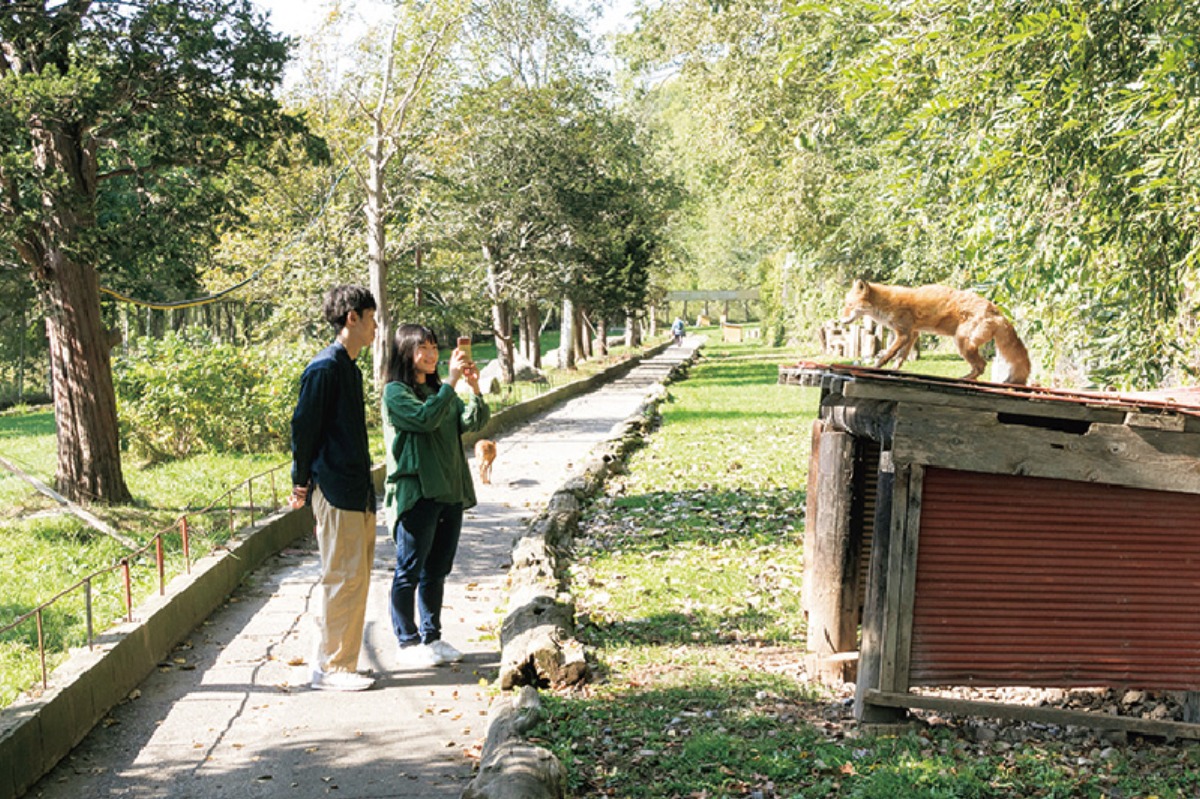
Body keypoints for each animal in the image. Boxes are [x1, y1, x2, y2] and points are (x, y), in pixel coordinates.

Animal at [844, 277, 1032, 383]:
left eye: (849, 305)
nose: (841, 320)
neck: (885, 304)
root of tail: (997, 312)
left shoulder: (903, 333)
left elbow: (889, 353)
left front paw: (877, 366)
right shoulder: (913, 333)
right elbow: (901, 356)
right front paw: (895, 370)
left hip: (962, 343)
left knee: (982, 365)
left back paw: (964, 380)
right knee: (980, 367)